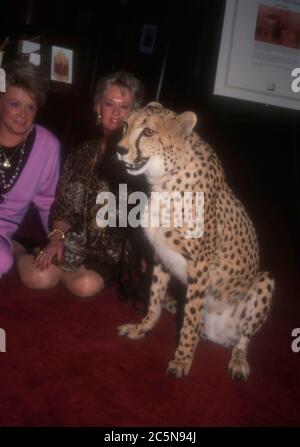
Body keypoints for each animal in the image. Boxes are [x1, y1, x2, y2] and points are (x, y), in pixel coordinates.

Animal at [116, 103, 274, 380]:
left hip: (264, 281)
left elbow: (189, 319)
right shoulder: (161, 256)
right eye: (125, 126)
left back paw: (238, 361)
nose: (120, 149)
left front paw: (182, 360)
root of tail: (219, 335)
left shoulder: (201, 266)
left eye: (148, 132)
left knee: (243, 339)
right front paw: (142, 328)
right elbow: (154, 300)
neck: (164, 180)